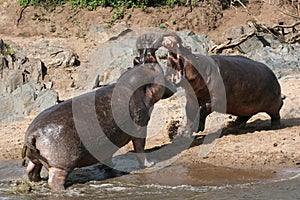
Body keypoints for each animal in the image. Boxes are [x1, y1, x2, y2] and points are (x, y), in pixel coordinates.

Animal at [21, 62, 176, 191]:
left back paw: (37, 181)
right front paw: (150, 164)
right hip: (60, 166)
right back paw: (62, 190)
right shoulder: (140, 128)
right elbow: (140, 148)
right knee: (54, 180)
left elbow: (107, 156)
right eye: (159, 72)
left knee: (31, 169)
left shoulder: (106, 144)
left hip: (36, 158)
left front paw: (110, 167)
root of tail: (32, 133)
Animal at [135, 32, 284, 134]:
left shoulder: (215, 99)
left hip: (273, 104)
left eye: (187, 49)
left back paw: (275, 126)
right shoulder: (192, 99)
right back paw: (234, 125)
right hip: (245, 105)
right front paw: (186, 130)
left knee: (276, 112)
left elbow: (202, 110)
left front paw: (196, 129)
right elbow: (189, 113)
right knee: (246, 115)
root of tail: (274, 76)